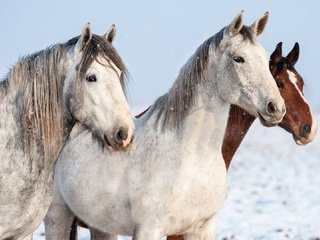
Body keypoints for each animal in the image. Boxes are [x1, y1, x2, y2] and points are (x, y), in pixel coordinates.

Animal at [47, 12, 284, 240]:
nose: (276, 108)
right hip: (58, 215)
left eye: (265, 59)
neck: (193, 158)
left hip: (101, 226)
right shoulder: (148, 230)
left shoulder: (202, 229)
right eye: (238, 59)